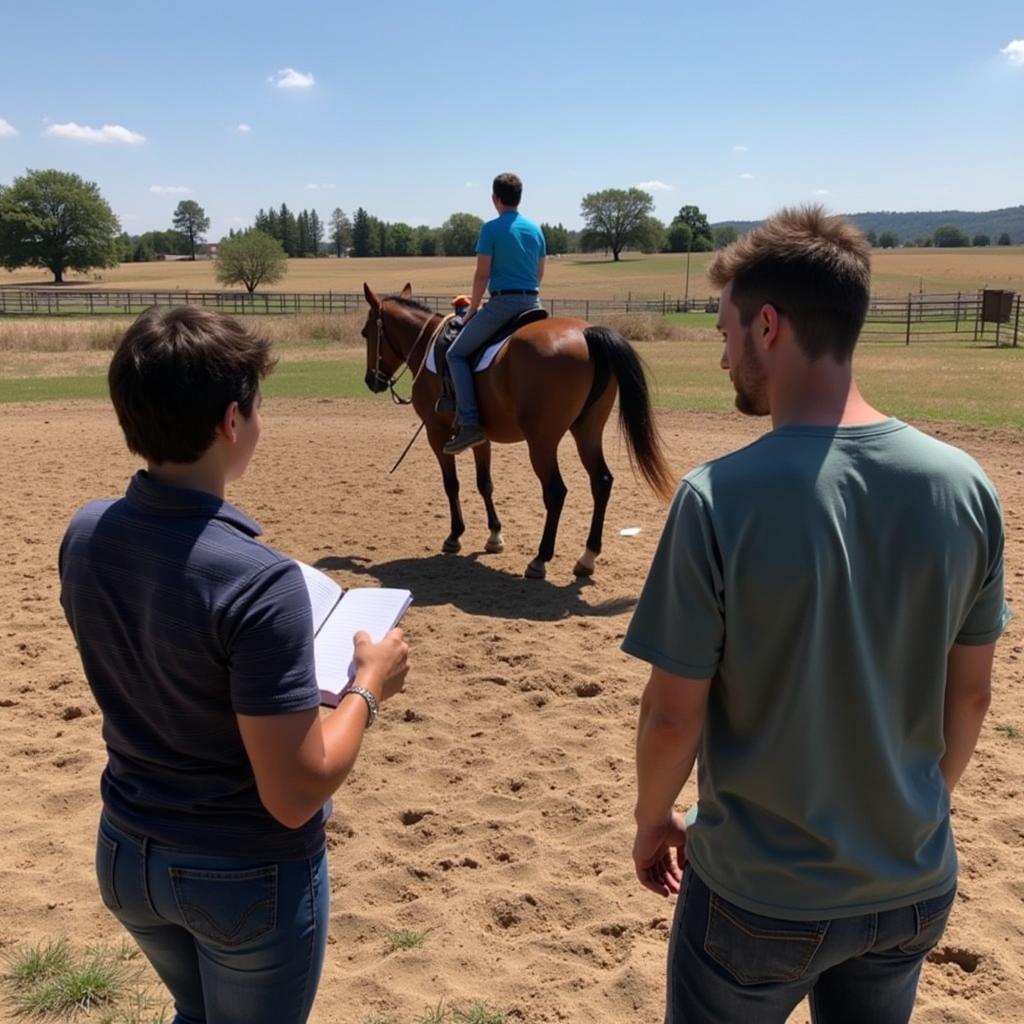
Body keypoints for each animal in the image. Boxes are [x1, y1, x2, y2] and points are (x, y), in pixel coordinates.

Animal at [360, 284, 671, 581]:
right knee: (602, 482)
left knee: (556, 492)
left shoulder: (436, 434)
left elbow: (452, 485)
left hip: (542, 442)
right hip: (587, 431)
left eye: (365, 333)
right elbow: (484, 483)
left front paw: (455, 535)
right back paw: (587, 557)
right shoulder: (478, 436)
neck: (428, 345)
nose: (371, 381)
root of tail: (585, 334)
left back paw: (540, 559)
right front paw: (494, 536)